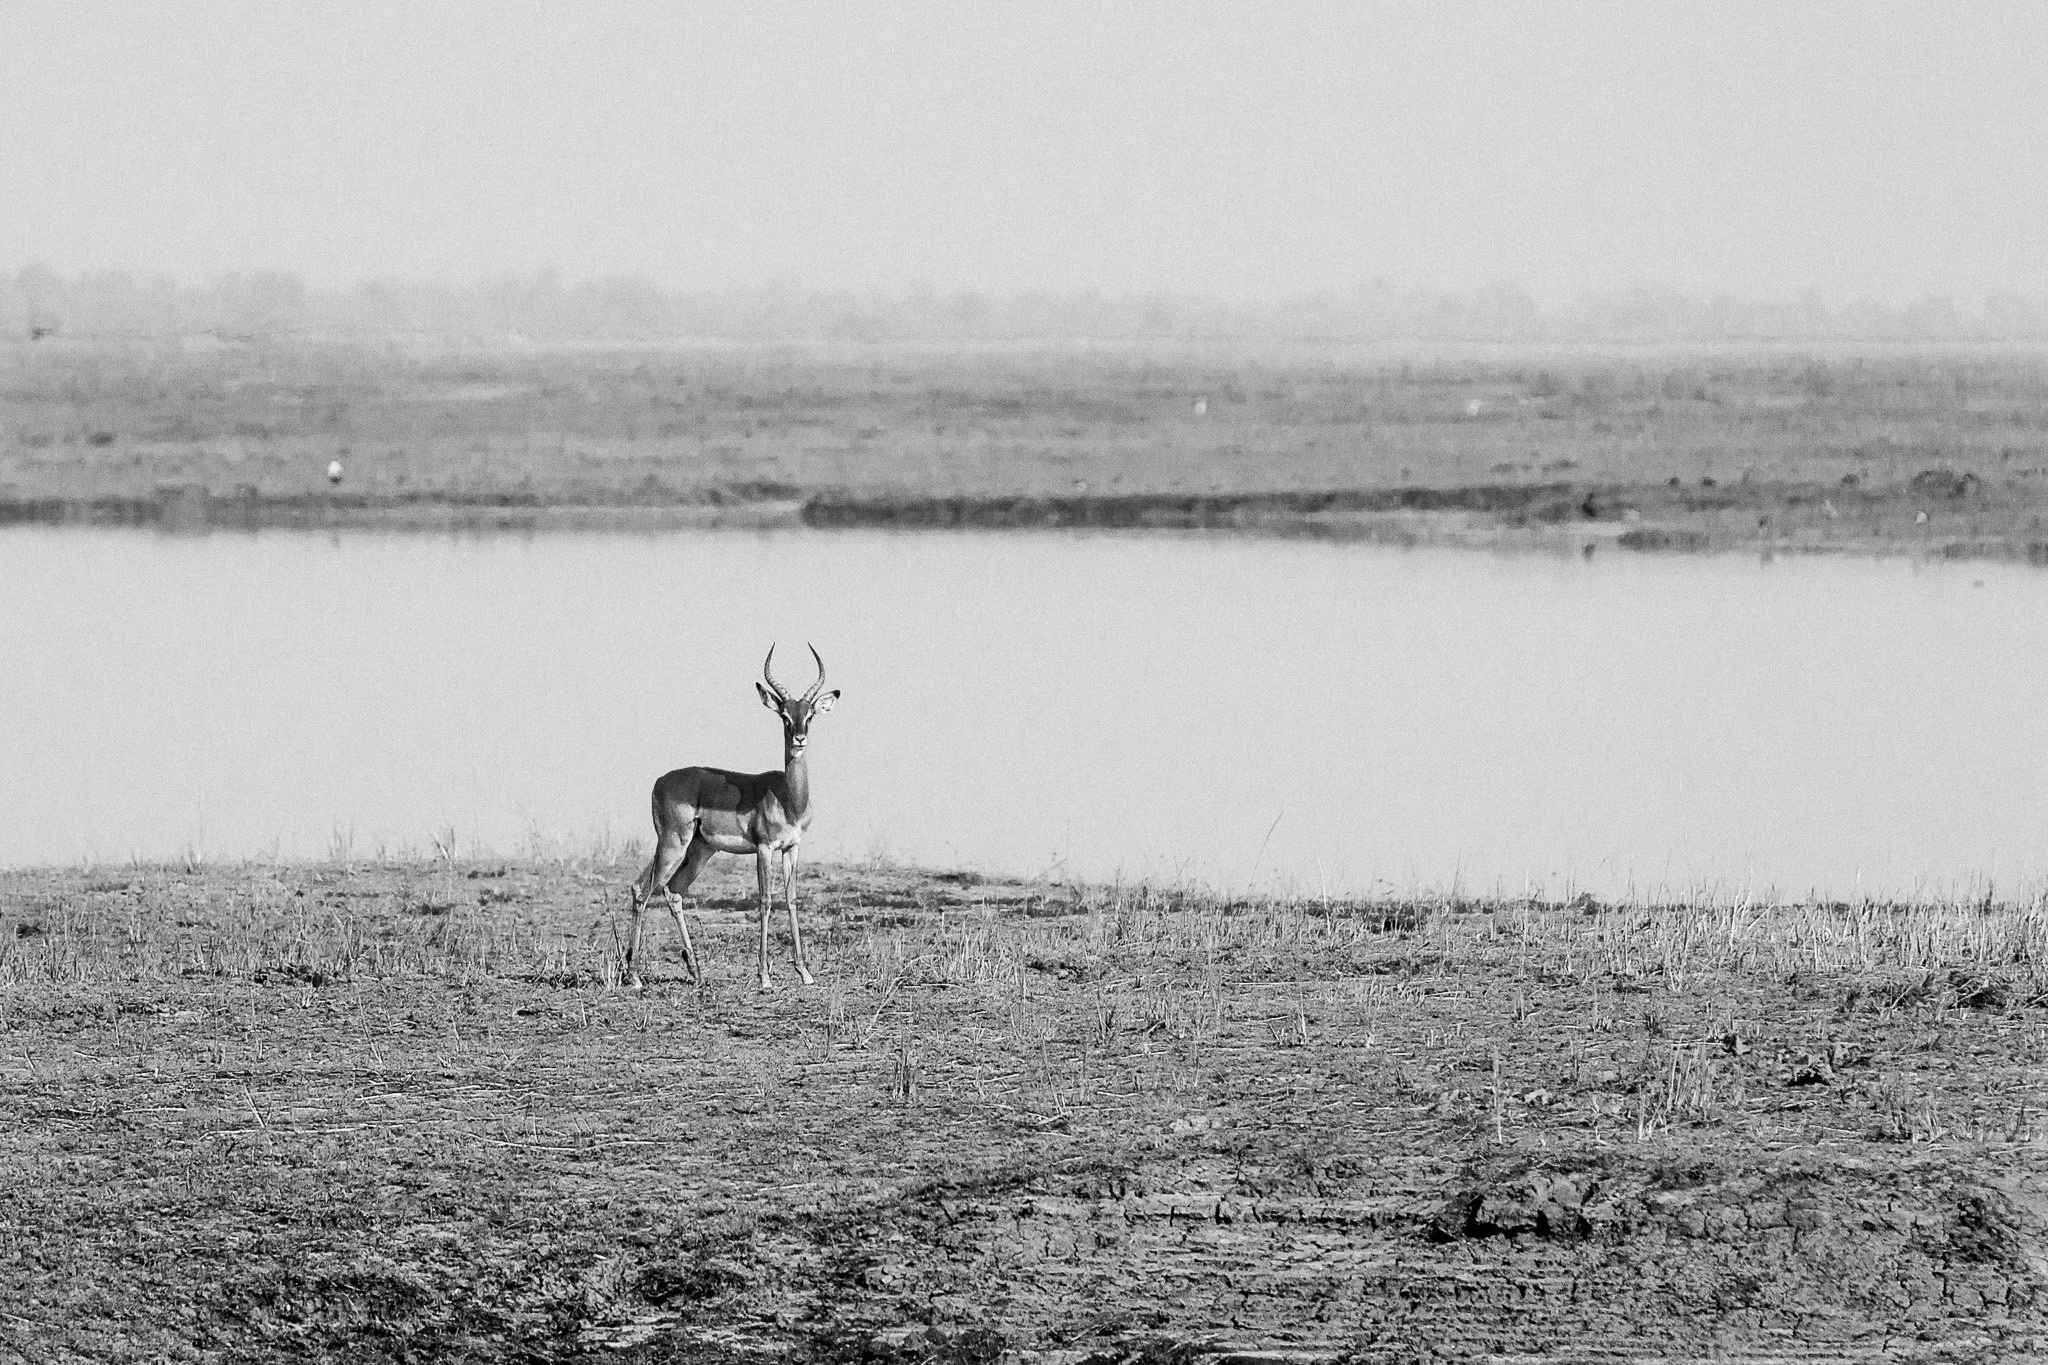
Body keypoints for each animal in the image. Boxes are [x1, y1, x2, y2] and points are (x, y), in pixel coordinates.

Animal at [624, 645, 840, 990]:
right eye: (784, 716)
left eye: (809, 715)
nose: (799, 739)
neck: (788, 798)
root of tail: (660, 781)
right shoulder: (764, 849)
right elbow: (765, 900)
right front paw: (764, 976)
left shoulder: (792, 848)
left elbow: (792, 898)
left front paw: (804, 972)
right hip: (672, 844)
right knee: (643, 891)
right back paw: (634, 976)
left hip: (699, 850)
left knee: (670, 891)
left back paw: (695, 972)